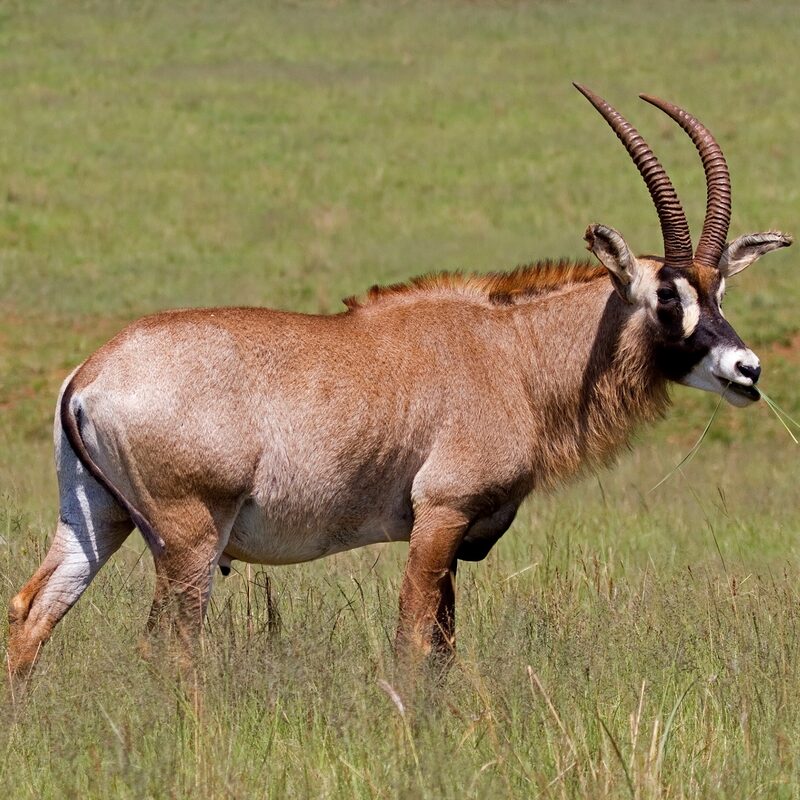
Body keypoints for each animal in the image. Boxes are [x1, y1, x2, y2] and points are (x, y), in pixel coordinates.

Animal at [7, 85, 791, 686]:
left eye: (717, 289)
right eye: (666, 295)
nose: (745, 369)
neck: (513, 354)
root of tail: (88, 375)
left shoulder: (456, 536)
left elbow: (443, 651)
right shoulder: (440, 516)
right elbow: (414, 646)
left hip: (96, 519)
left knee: (31, 613)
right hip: (189, 539)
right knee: (168, 647)